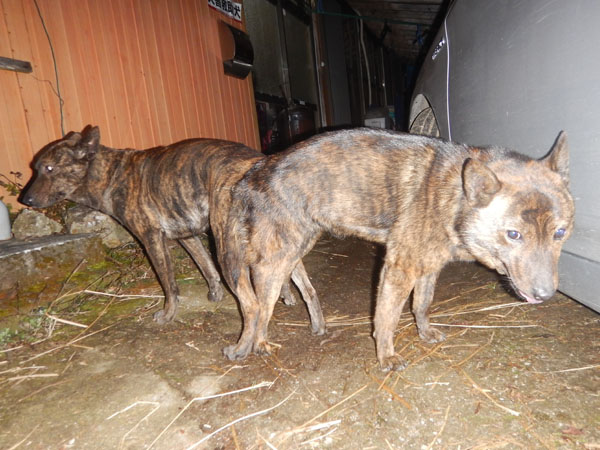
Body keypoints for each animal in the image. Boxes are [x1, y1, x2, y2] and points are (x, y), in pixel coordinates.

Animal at [20, 125, 325, 335]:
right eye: (36, 167)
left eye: (49, 168)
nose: (26, 200)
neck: (111, 175)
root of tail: (259, 164)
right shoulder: (187, 235)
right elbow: (205, 267)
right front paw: (214, 294)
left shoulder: (152, 239)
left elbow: (169, 284)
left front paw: (168, 315)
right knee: (307, 288)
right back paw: (316, 325)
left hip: (227, 247)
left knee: (252, 302)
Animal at [217, 128, 574, 371]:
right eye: (513, 235)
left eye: (560, 232)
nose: (545, 294)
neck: (455, 195)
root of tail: (254, 172)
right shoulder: (399, 268)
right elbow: (386, 318)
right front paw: (386, 356)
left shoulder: (428, 267)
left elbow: (422, 305)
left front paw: (424, 332)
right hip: (272, 264)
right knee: (256, 309)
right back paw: (254, 345)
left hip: (295, 251)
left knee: (300, 293)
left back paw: (313, 328)